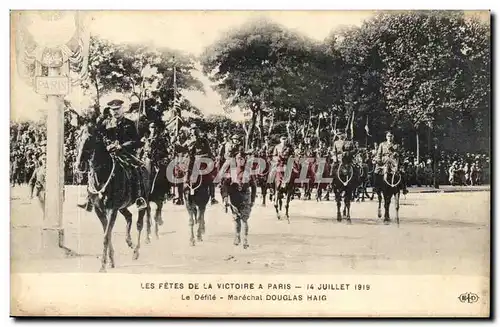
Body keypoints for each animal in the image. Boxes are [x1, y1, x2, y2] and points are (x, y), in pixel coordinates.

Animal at [75, 124, 151, 272]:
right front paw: (110, 261)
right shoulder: (99, 210)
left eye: (90, 139)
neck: (101, 176)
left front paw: (103, 266)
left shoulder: (112, 210)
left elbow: (106, 236)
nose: (79, 165)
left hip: (142, 202)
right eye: (78, 138)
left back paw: (136, 251)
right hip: (122, 207)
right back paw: (129, 241)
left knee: (139, 224)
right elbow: (108, 233)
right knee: (129, 217)